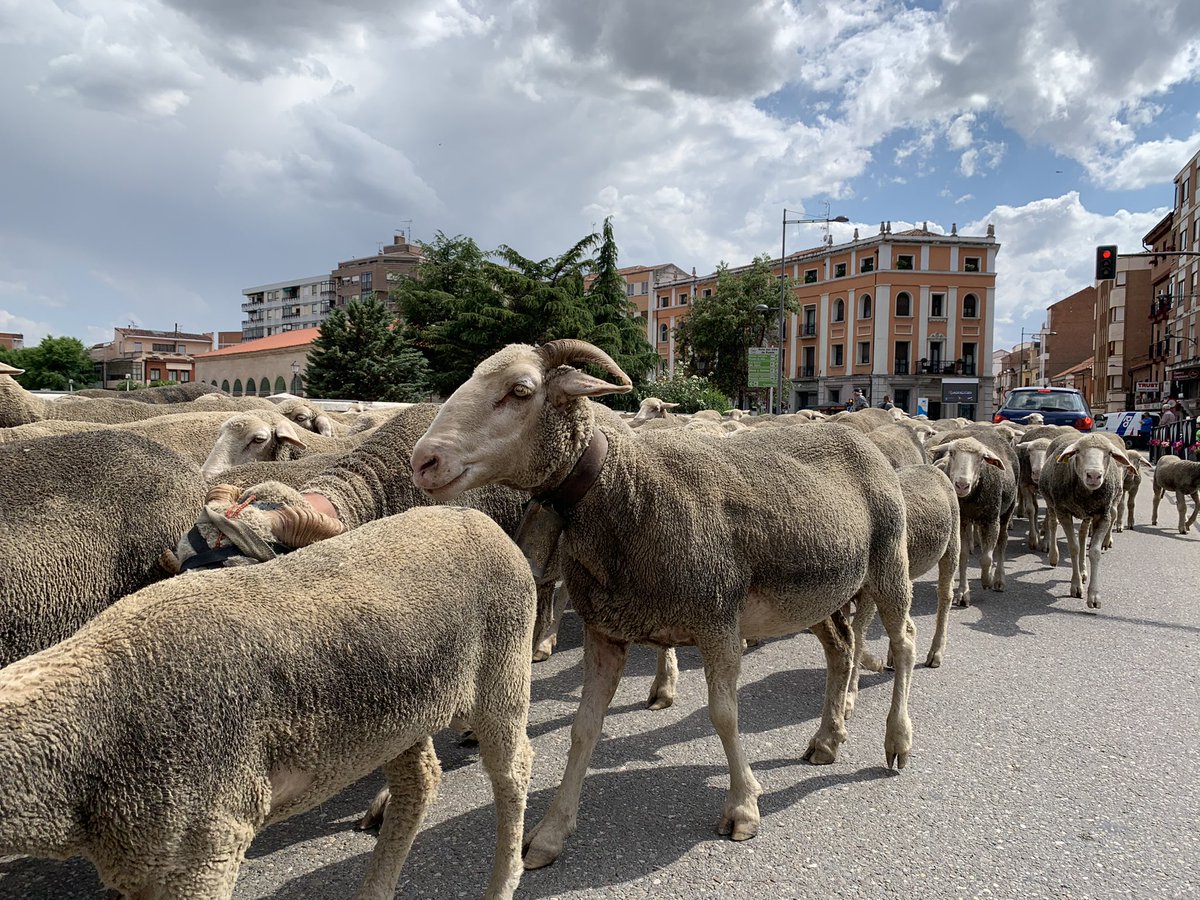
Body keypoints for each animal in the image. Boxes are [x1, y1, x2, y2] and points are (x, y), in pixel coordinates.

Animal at [0, 503, 536, 900]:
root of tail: (475, 516)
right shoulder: (149, 864)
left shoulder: (207, 848)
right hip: (400, 711)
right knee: (419, 784)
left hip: (503, 672)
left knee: (515, 769)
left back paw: (504, 880)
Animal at [409, 339, 916, 865]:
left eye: (520, 390)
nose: (423, 461)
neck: (628, 489)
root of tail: (855, 435)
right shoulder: (605, 630)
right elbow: (583, 728)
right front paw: (550, 832)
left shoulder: (717, 619)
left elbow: (724, 715)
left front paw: (743, 807)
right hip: (816, 595)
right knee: (841, 650)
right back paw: (827, 739)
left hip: (888, 561)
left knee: (904, 642)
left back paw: (897, 741)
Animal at [928, 435, 1017, 607]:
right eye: (951, 452)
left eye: (982, 458)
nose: (962, 485)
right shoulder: (962, 520)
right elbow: (963, 556)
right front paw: (963, 593)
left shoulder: (991, 519)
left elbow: (987, 558)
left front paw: (987, 580)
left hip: (1007, 510)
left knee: (1002, 542)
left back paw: (999, 579)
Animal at [1039, 433, 1135, 608]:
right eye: (1077, 451)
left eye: (1109, 453)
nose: (1094, 475)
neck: (1085, 494)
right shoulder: (1064, 512)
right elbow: (1074, 547)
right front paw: (1076, 586)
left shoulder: (1104, 515)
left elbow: (1095, 552)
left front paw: (1094, 596)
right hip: (1051, 503)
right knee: (1052, 523)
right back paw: (1054, 557)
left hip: (1087, 515)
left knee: (1083, 534)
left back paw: (1083, 570)